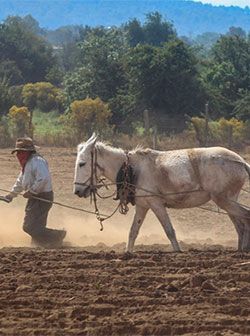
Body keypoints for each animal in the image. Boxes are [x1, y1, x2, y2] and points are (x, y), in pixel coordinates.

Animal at [73, 134, 250, 252]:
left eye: (82, 163)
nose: (77, 190)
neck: (131, 169)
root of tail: (240, 161)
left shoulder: (156, 204)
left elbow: (169, 230)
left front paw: (178, 251)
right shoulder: (142, 206)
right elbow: (133, 231)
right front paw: (127, 253)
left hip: (224, 200)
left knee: (245, 217)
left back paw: (244, 249)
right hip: (229, 201)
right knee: (239, 225)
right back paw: (240, 250)